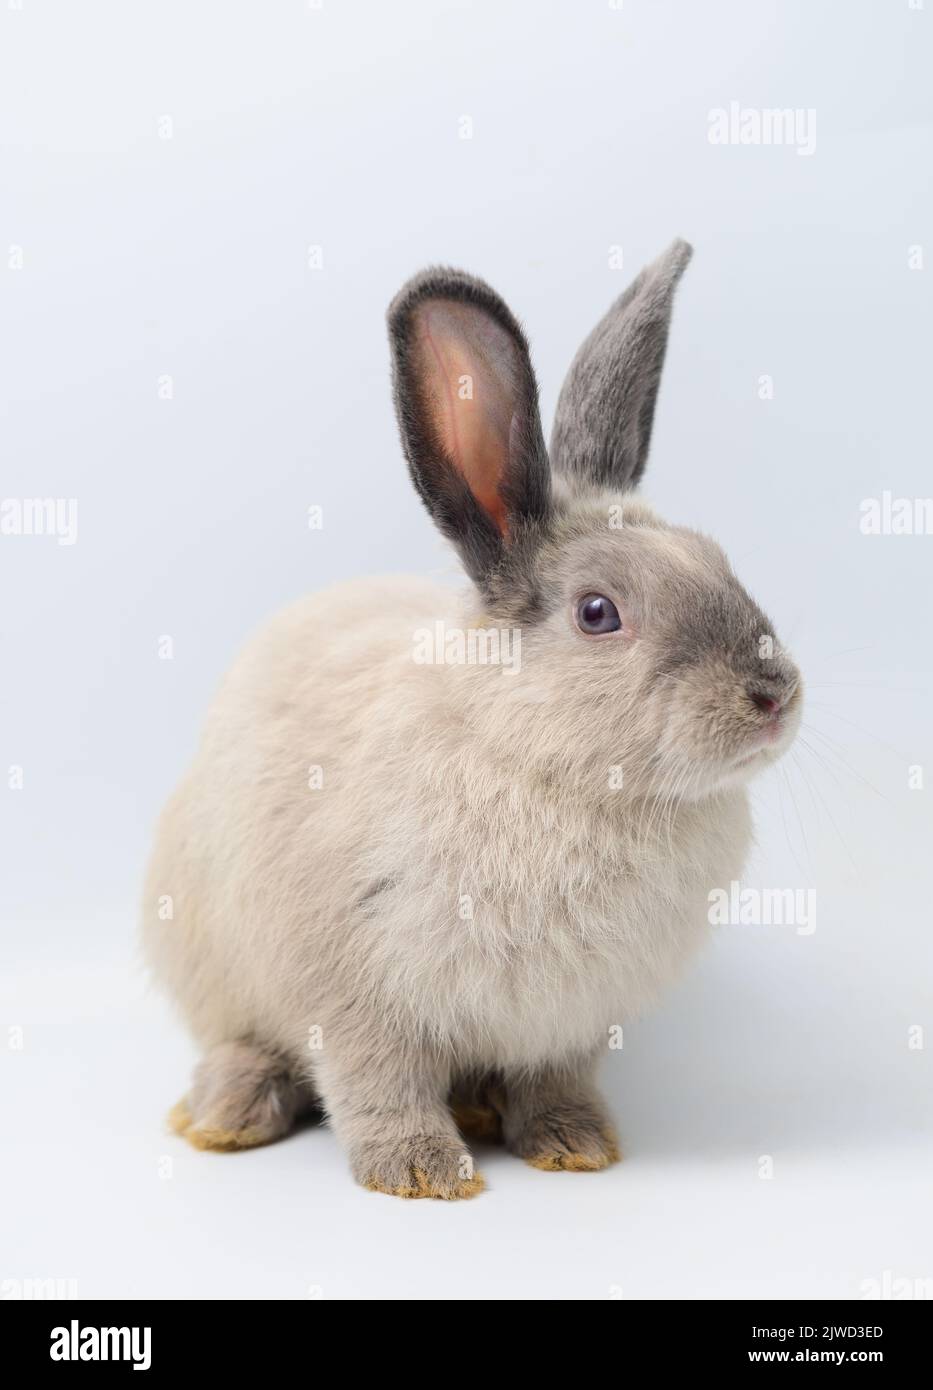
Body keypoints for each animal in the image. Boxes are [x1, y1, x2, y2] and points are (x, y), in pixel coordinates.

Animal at [143, 239, 802, 1198]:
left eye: (717, 559)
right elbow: (376, 1083)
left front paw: (573, 1145)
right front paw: (421, 1174)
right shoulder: (354, 994)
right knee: (242, 1042)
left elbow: (552, 1080)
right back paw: (227, 1114)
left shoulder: (570, 1022)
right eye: (597, 613)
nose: (774, 695)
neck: (545, 765)